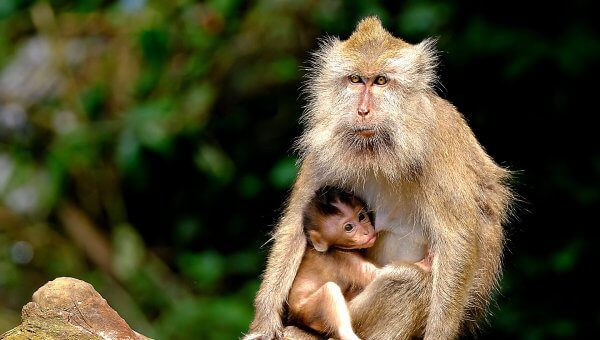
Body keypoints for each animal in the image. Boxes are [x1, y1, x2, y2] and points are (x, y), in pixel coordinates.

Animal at [288, 186, 378, 340]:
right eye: (348, 227)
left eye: (361, 216)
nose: (367, 232)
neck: (335, 247)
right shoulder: (344, 258)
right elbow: (376, 275)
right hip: (308, 312)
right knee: (329, 291)